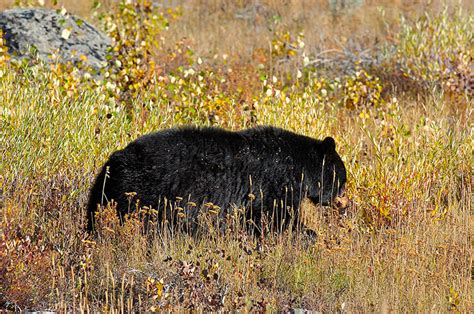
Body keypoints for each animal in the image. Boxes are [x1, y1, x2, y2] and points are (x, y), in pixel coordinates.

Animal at [88, 125, 348, 233]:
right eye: (342, 180)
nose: (341, 201)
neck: (300, 167)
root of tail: (114, 160)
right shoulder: (274, 184)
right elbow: (275, 217)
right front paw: (307, 236)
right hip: (142, 193)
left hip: (105, 192)